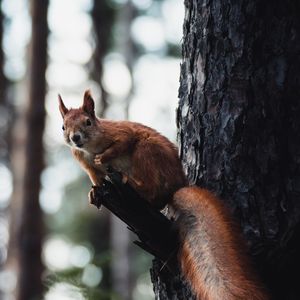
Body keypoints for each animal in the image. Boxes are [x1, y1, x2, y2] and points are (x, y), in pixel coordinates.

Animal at [59, 89, 270, 300]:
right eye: (63, 127)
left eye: (88, 122)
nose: (75, 137)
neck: (89, 147)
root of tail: (177, 186)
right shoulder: (87, 166)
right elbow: (97, 180)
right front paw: (94, 193)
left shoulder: (119, 132)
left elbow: (123, 142)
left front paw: (103, 157)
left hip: (147, 151)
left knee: (153, 192)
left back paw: (134, 184)